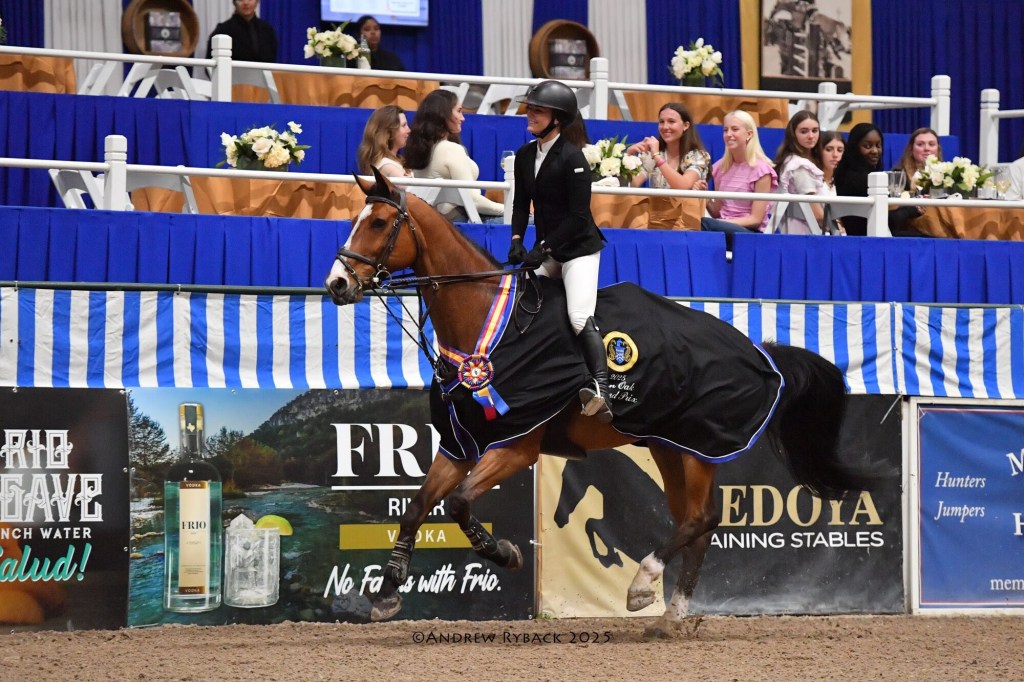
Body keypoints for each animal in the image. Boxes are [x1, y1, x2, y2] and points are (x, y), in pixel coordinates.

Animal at [325, 167, 882, 634]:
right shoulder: (462, 444)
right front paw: (388, 592)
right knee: (693, 523)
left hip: (700, 445)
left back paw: (642, 587)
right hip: (670, 447)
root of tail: (759, 350)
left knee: (702, 520)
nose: (336, 283)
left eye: (378, 223)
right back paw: (671, 616)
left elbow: (460, 503)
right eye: (355, 221)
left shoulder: (517, 445)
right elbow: (417, 506)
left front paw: (504, 553)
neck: (488, 328)